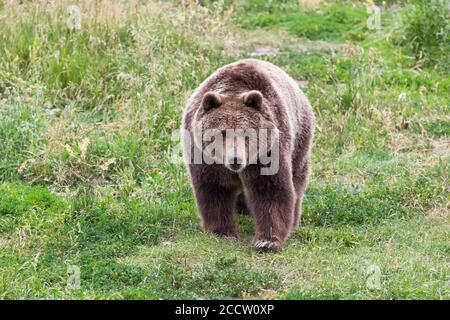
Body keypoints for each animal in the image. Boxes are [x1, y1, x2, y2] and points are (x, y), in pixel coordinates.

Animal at [181, 58, 314, 251]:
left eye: (246, 133)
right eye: (222, 133)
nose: (235, 159)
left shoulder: (267, 153)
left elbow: (270, 191)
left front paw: (266, 241)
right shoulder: (205, 157)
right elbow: (214, 190)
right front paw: (222, 233)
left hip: (300, 138)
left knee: (297, 180)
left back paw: (294, 222)